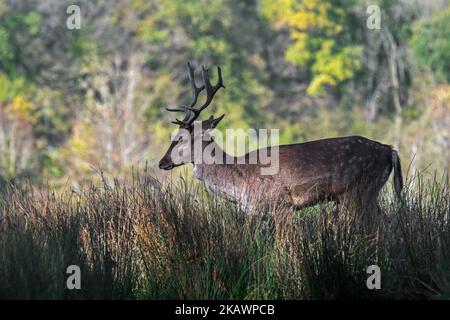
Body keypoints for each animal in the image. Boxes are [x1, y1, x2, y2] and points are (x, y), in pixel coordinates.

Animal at [159, 62, 404, 218]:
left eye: (179, 138)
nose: (162, 162)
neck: (239, 182)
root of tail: (390, 150)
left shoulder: (280, 204)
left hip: (358, 191)